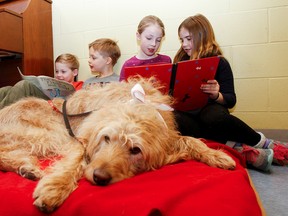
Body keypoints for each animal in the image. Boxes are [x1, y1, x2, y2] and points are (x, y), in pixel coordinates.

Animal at [0, 78, 235, 213]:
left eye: (135, 150)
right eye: (106, 139)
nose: (99, 177)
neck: (137, 104)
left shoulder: (168, 135)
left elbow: (191, 139)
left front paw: (216, 155)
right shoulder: (79, 139)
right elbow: (74, 162)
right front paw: (54, 189)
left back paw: (26, 168)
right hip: (49, 134)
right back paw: (26, 168)